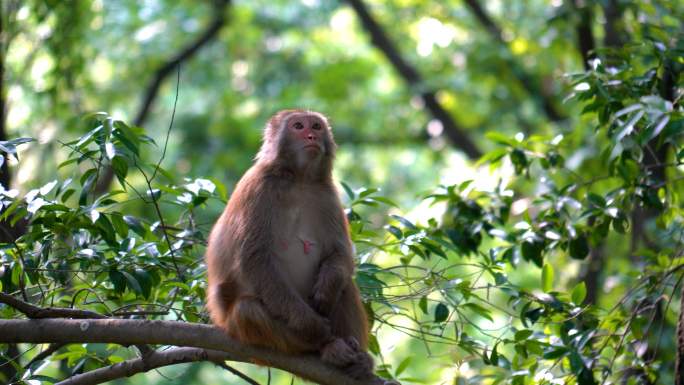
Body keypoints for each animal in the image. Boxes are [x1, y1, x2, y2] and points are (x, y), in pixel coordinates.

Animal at [206, 108, 374, 378]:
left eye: (316, 126)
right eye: (298, 126)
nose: (311, 136)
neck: (299, 179)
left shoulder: (327, 194)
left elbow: (341, 254)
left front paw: (327, 287)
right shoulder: (259, 188)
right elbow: (254, 260)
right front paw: (313, 326)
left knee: (344, 283)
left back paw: (357, 355)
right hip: (239, 333)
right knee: (246, 311)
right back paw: (327, 346)